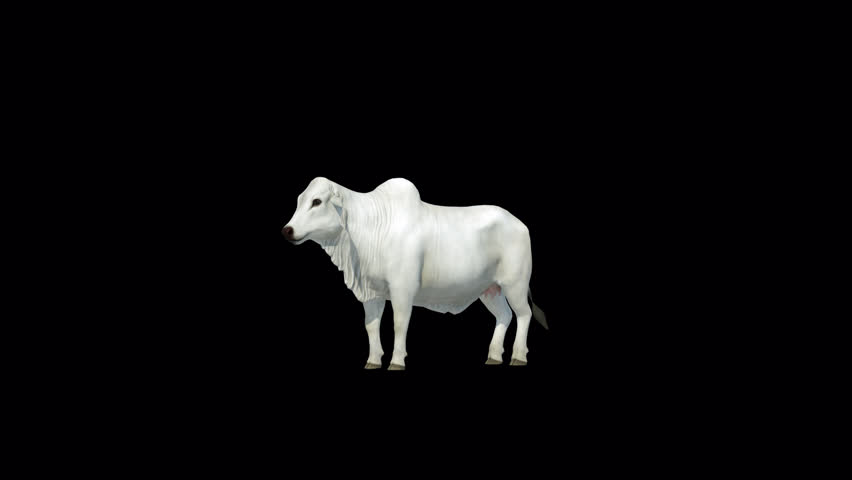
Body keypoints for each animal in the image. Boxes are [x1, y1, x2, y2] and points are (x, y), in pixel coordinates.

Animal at [282, 177, 547, 370]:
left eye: (317, 201)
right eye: (299, 200)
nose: (287, 230)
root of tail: (518, 223)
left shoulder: (403, 289)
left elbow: (399, 324)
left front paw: (397, 361)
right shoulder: (372, 293)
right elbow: (371, 326)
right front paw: (373, 361)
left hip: (515, 284)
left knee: (523, 315)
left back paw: (518, 356)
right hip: (490, 289)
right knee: (504, 315)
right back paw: (493, 356)